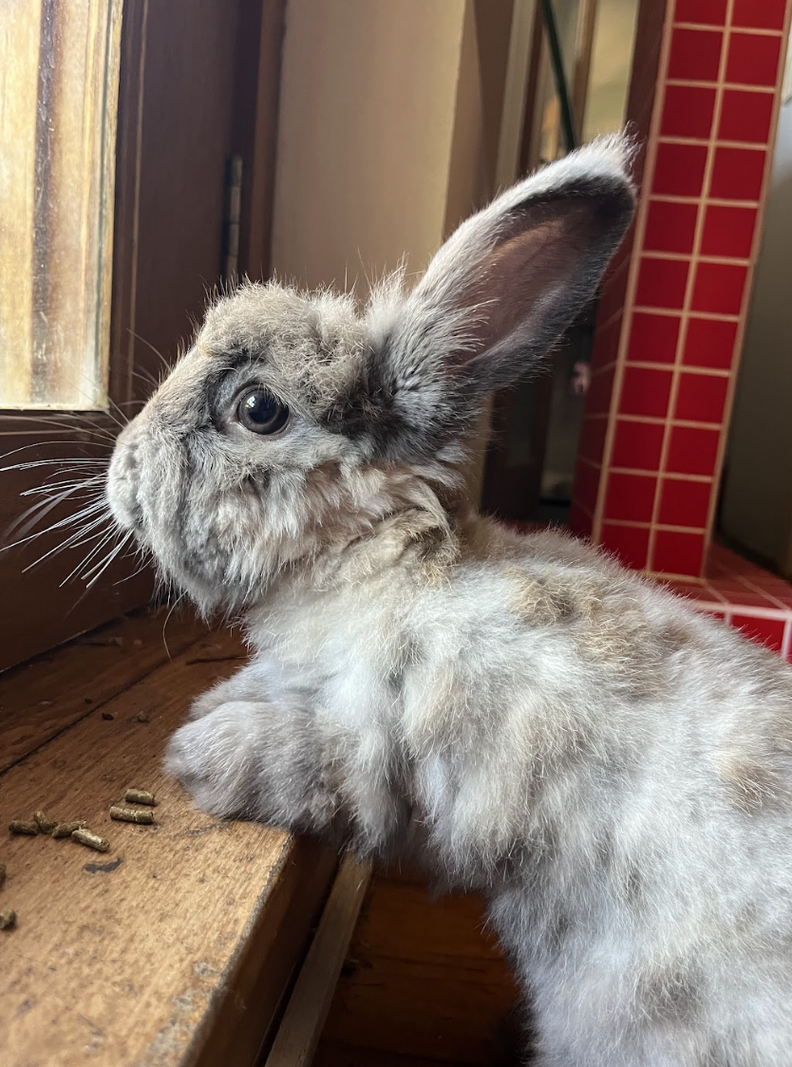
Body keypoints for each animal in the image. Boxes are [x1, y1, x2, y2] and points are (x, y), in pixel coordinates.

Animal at [104, 136, 792, 1067]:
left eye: (257, 408)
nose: (120, 469)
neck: (388, 559)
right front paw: (213, 707)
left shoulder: (377, 747)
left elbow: (308, 763)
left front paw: (197, 752)